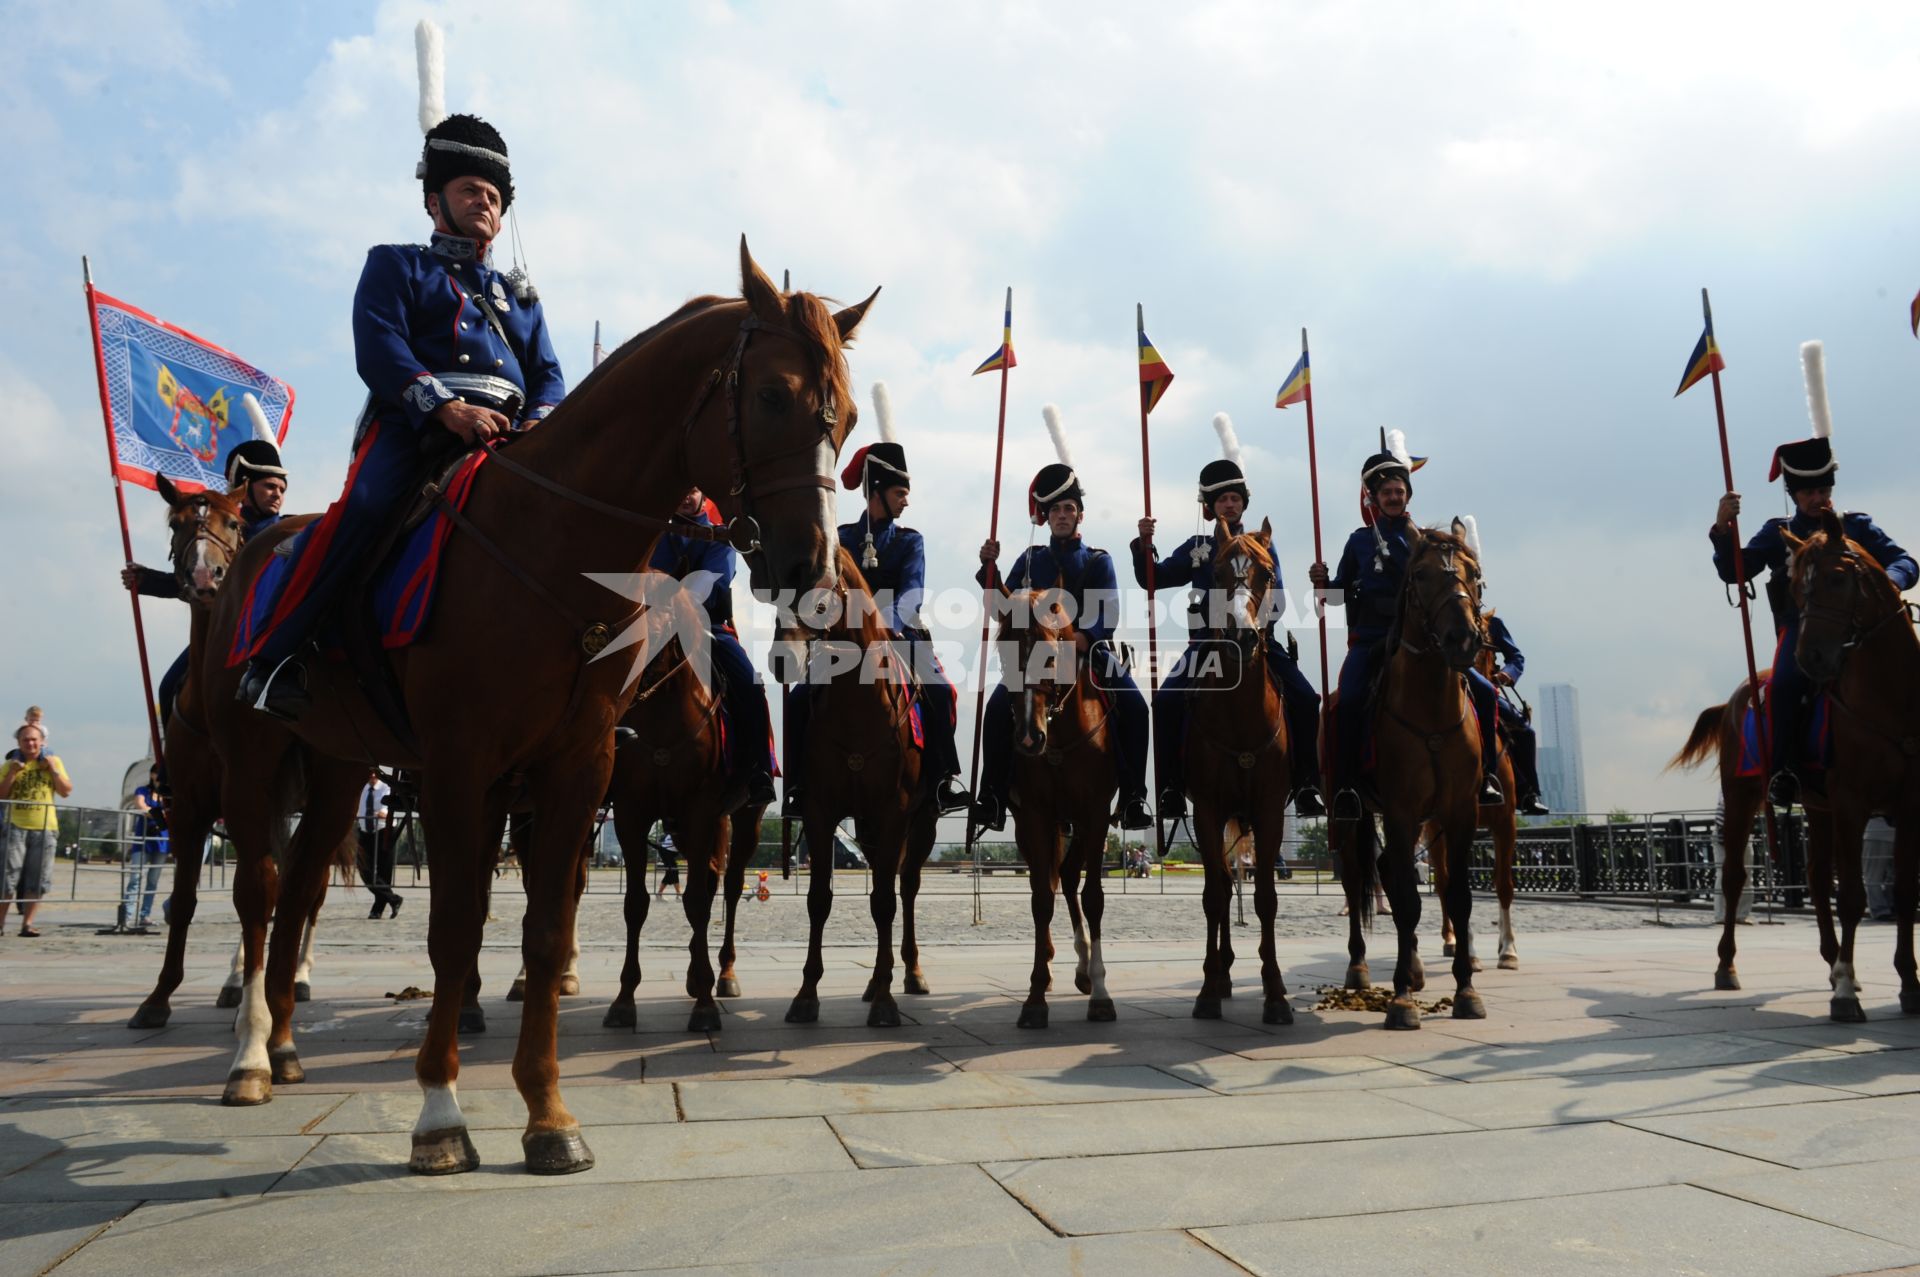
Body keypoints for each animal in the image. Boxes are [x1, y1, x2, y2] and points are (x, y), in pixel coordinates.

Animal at [194, 241, 871, 1175]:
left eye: (846, 416)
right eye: (773, 395)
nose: (816, 571)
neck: (547, 545)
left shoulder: (576, 768)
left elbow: (548, 932)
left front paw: (548, 1114)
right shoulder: (460, 765)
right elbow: (455, 928)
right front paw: (440, 1112)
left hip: (337, 767)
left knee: (299, 890)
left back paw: (290, 1047)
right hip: (253, 759)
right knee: (260, 891)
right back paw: (252, 1055)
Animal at [775, 549, 933, 1029]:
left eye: (820, 597)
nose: (782, 659)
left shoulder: (896, 811)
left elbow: (884, 902)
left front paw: (885, 1002)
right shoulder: (820, 811)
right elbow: (818, 899)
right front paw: (806, 995)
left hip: (921, 824)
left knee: (907, 887)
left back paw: (909, 973)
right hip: (866, 827)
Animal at [998, 587, 1121, 1029]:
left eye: (1050, 656)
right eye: (1003, 653)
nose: (1027, 738)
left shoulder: (1096, 814)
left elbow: (1094, 897)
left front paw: (1101, 993)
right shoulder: (1035, 818)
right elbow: (1040, 900)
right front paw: (1035, 995)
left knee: (1069, 879)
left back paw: (1086, 972)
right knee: (1055, 881)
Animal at [1336, 526, 1497, 1029]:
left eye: (1474, 574)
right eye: (1421, 575)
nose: (1462, 638)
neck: (1431, 709)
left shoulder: (1459, 812)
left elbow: (1457, 896)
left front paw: (1466, 991)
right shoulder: (1401, 810)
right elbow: (1408, 900)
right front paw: (1402, 999)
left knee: (1391, 871)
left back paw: (1416, 967)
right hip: (1349, 816)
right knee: (1358, 880)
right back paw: (1360, 967)